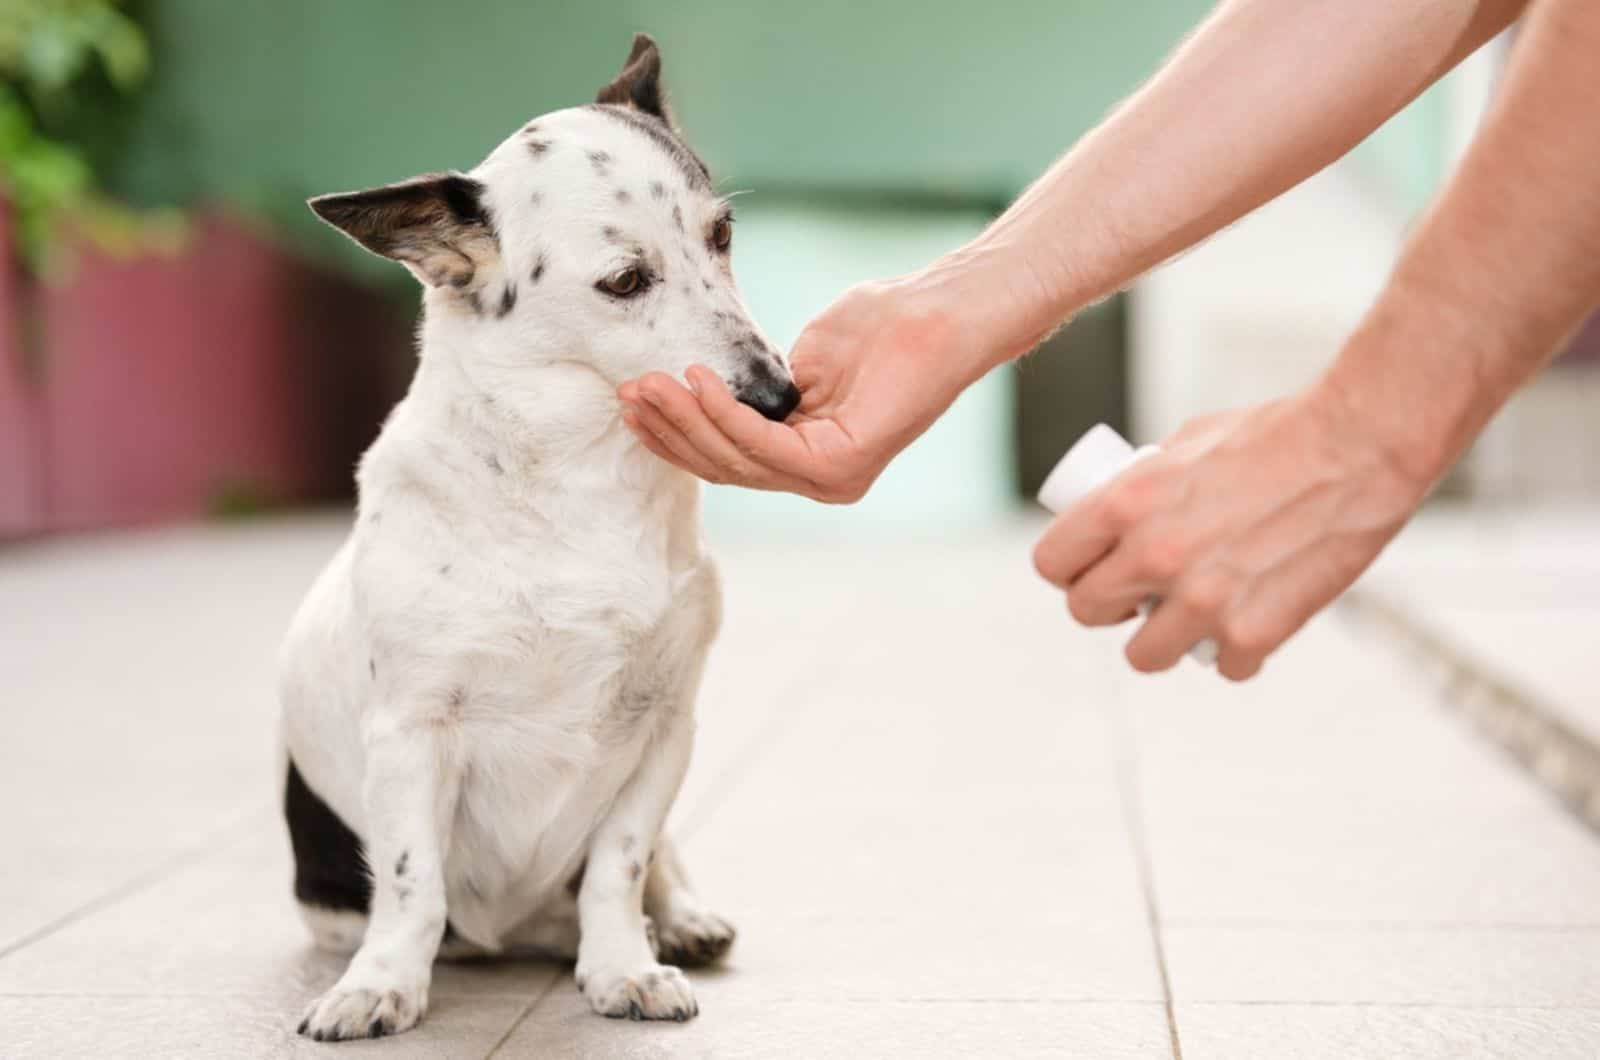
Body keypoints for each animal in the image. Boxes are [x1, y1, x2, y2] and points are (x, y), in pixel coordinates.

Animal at [280, 35, 800, 1043]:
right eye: (625, 281)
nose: (779, 397)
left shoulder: (662, 730)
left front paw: (623, 966)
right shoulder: (410, 736)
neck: (579, 486)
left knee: (655, 866)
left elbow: (622, 865)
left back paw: (679, 922)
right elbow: (411, 885)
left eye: (721, 235)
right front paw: (383, 984)